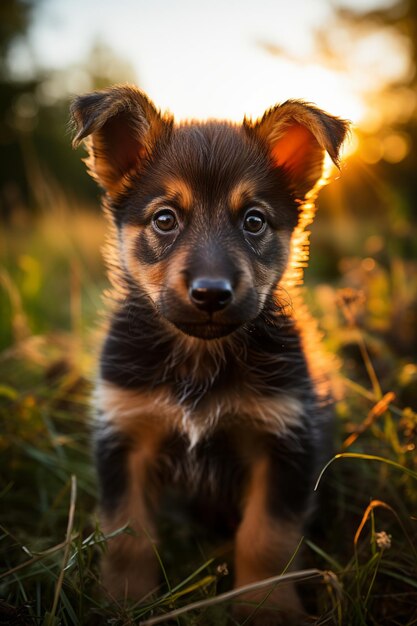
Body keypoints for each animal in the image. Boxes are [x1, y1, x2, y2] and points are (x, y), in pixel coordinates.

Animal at [71, 85, 348, 620]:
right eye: (165, 218)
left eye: (254, 221)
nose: (212, 294)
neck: (200, 356)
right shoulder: (125, 437)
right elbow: (127, 536)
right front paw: (124, 603)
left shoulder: (284, 443)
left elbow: (267, 538)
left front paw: (267, 608)